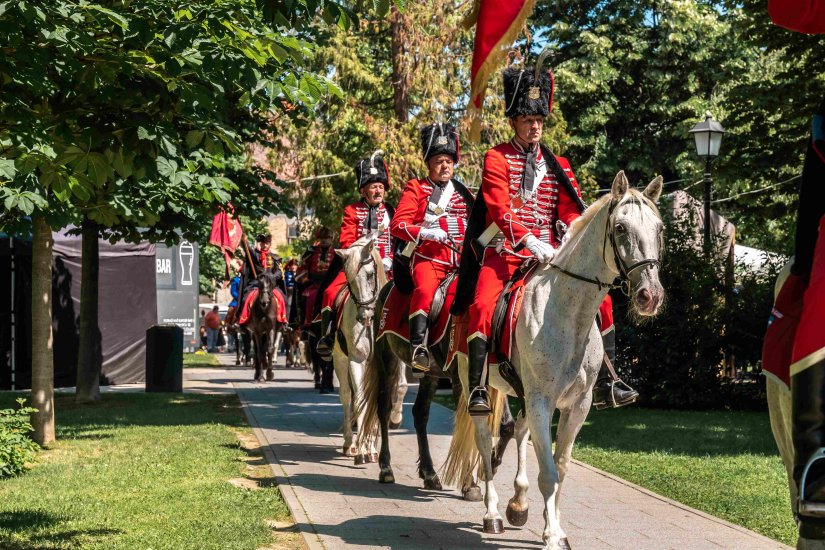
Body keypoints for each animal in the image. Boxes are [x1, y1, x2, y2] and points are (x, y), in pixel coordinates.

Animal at [332, 235, 402, 464]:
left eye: (371, 274)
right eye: (349, 278)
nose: (364, 317)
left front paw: (372, 447)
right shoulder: (357, 361)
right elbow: (362, 400)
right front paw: (362, 448)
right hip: (339, 359)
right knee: (347, 396)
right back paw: (350, 443)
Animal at [444, 170, 664, 548]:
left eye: (659, 228)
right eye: (621, 228)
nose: (650, 295)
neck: (568, 312)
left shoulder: (577, 405)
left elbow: (560, 467)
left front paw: (555, 526)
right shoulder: (542, 400)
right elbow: (547, 471)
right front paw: (551, 535)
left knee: (518, 430)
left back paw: (518, 504)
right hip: (476, 382)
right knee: (485, 441)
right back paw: (493, 513)